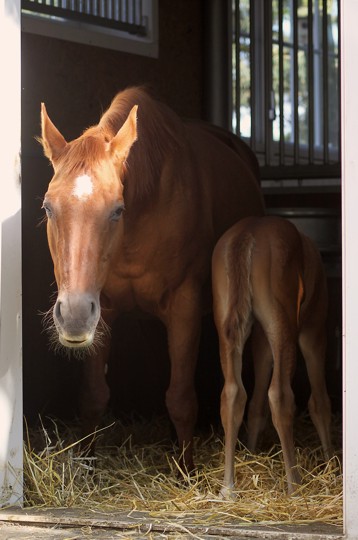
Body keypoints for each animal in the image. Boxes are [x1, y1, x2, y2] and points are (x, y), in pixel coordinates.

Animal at [39, 86, 264, 470]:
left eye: (117, 210)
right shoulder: (104, 308)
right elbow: (93, 394)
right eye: (47, 207)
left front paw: (186, 471)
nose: (73, 316)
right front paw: (86, 464)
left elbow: (182, 399)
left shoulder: (185, 307)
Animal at [213, 216, 332, 498]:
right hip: (284, 323)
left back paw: (228, 488)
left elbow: (255, 403)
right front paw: (331, 461)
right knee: (279, 394)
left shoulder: (260, 338)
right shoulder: (313, 329)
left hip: (227, 323)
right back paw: (294, 484)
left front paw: (251, 452)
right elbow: (320, 401)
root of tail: (246, 235)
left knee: (232, 393)